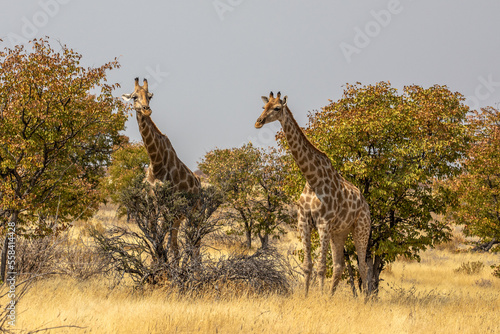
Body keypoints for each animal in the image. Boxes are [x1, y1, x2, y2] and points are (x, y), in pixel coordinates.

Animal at [120, 77, 199, 258]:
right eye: (134, 97)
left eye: (150, 96)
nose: (146, 110)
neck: (156, 163)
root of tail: (199, 183)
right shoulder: (151, 208)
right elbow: (156, 244)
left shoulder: (165, 208)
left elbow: (161, 245)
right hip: (178, 217)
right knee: (176, 247)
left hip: (195, 213)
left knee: (195, 247)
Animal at [256, 90, 370, 294]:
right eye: (263, 107)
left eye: (276, 108)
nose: (258, 122)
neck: (312, 179)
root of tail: (365, 204)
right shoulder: (303, 221)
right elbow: (308, 265)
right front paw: (306, 295)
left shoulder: (323, 223)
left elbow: (321, 266)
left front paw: (319, 296)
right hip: (340, 232)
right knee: (339, 265)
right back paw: (331, 297)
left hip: (361, 228)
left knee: (363, 266)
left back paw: (365, 299)